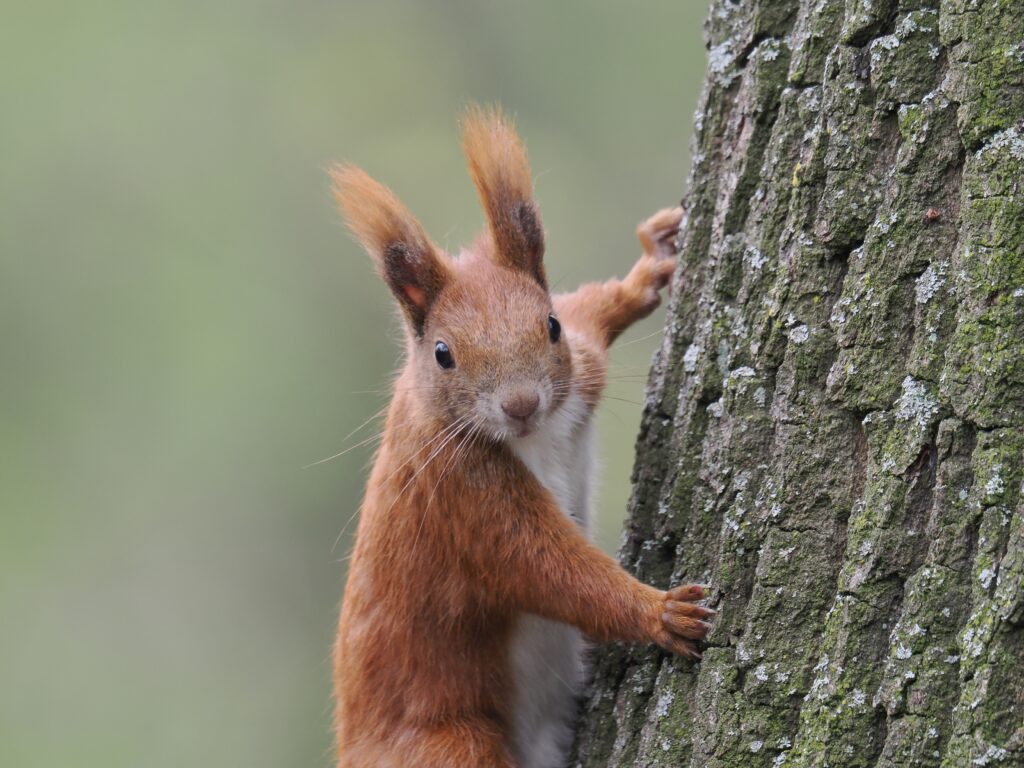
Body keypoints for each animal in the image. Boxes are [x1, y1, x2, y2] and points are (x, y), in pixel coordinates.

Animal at [329, 105, 714, 768]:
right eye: (443, 354)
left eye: (550, 324)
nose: (521, 404)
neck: (541, 436)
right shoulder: (459, 489)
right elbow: (543, 565)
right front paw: (661, 613)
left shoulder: (581, 370)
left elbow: (594, 315)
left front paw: (648, 268)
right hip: (451, 744)